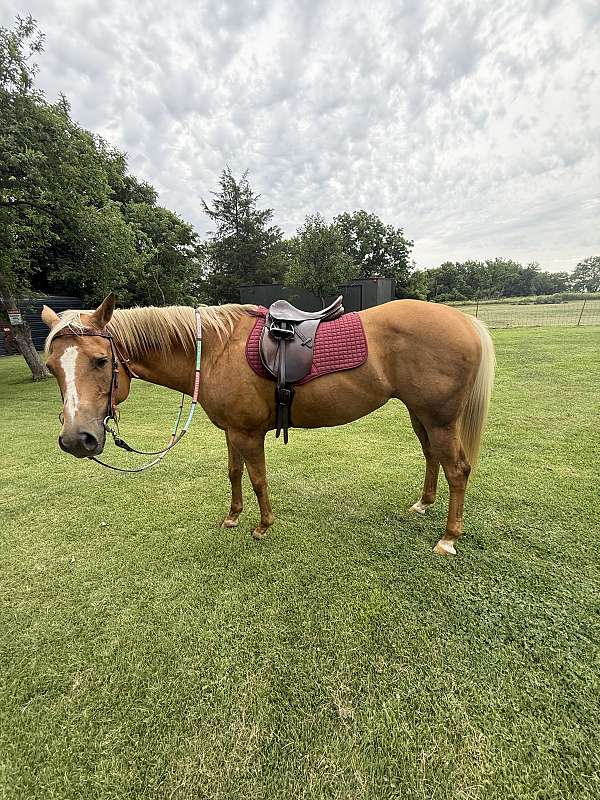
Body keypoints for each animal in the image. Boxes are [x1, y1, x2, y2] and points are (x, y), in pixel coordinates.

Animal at [42, 293, 495, 555]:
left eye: (101, 361)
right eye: (51, 367)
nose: (77, 439)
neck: (215, 350)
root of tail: (465, 321)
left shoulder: (248, 432)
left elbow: (258, 477)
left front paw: (262, 526)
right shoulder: (231, 430)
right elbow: (234, 473)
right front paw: (233, 517)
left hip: (440, 419)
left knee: (457, 469)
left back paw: (448, 537)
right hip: (422, 416)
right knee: (432, 457)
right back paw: (423, 504)